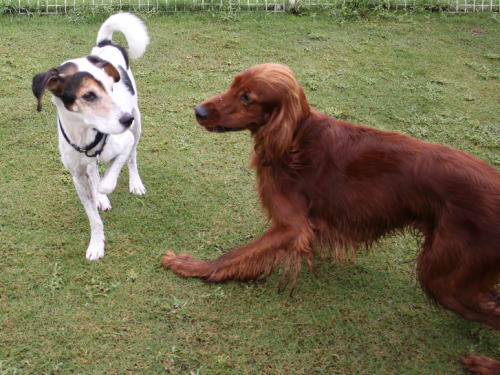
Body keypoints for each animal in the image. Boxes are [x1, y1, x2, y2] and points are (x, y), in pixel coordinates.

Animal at [32, 13, 149, 262]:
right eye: (88, 95)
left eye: (111, 87)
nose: (125, 119)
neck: (86, 134)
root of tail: (105, 44)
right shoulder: (77, 176)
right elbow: (93, 216)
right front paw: (96, 244)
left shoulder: (124, 142)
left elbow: (108, 179)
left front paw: (104, 189)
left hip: (137, 127)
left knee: (132, 158)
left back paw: (135, 183)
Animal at [162, 64, 498, 375]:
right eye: (233, 85)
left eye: (247, 97)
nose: (199, 111)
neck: (293, 139)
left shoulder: (291, 227)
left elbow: (235, 255)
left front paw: (192, 266)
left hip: (442, 277)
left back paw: (484, 364)